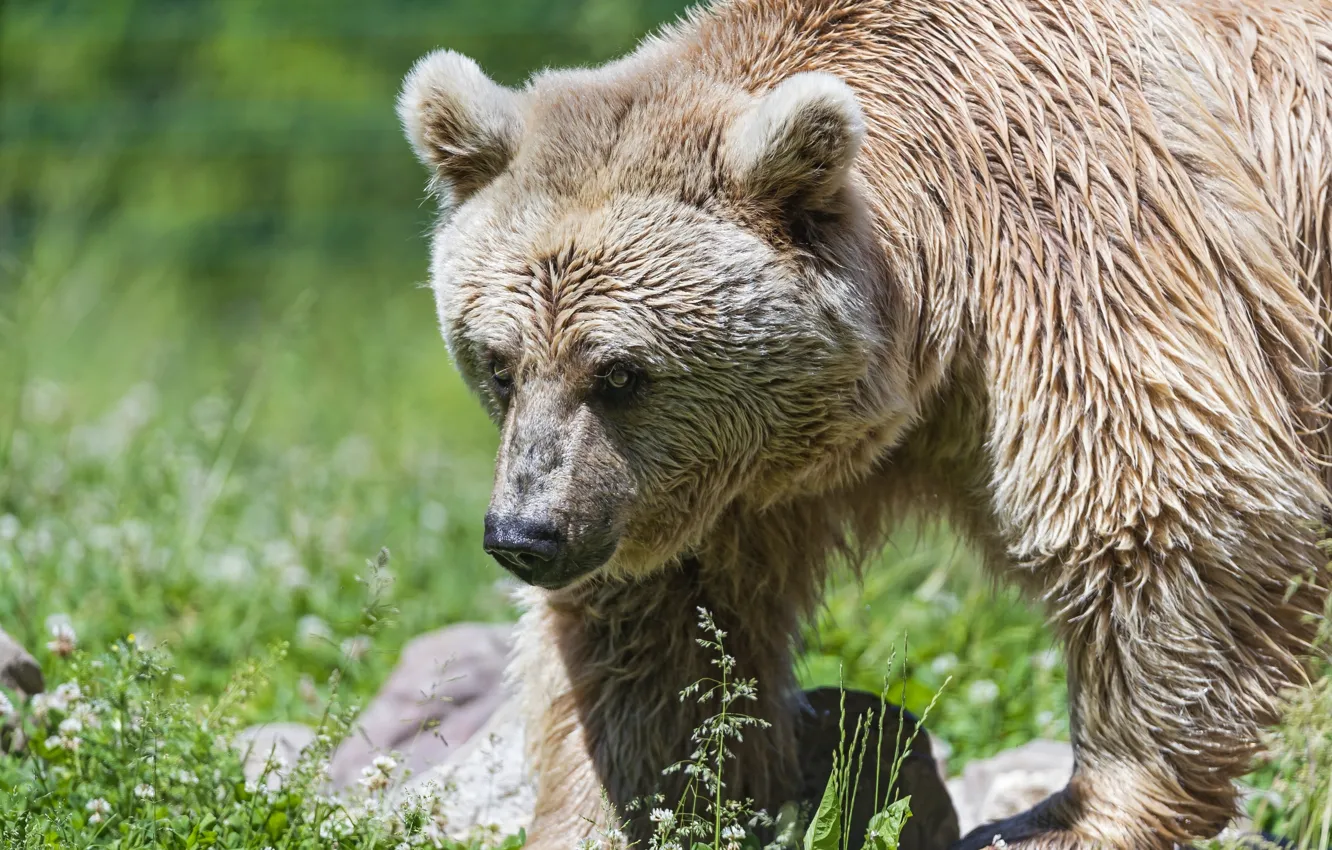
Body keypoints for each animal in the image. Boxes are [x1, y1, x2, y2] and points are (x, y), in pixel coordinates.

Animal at [394, 0, 1332, 847]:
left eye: (620, 372)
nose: (525, 534)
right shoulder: (725, 478)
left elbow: (1164, 510)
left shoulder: (1094, 239)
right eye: (499, 362)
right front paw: (628, 806)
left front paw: (1069, 815)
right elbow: (664, 635)